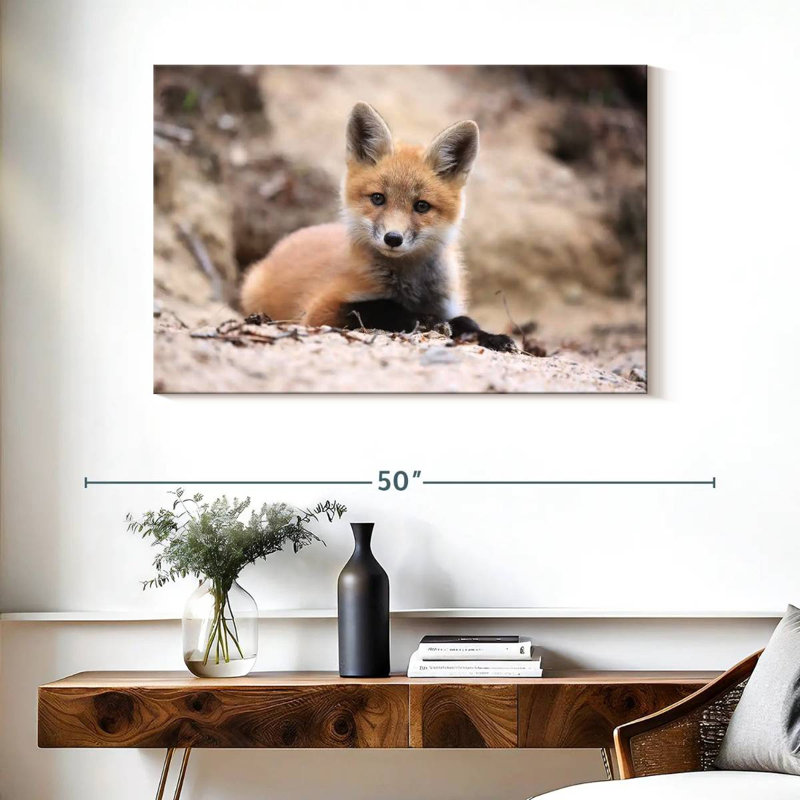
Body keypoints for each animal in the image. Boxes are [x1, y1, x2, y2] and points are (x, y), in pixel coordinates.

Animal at [240, 102, 516, 352]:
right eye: (378, 198)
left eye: (421, 206)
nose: (393, 238)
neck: (410, 287)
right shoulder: (319, 311)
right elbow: (380, 307)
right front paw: (422, 319)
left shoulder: (448, 305)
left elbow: (468, 321)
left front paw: (493, 337)